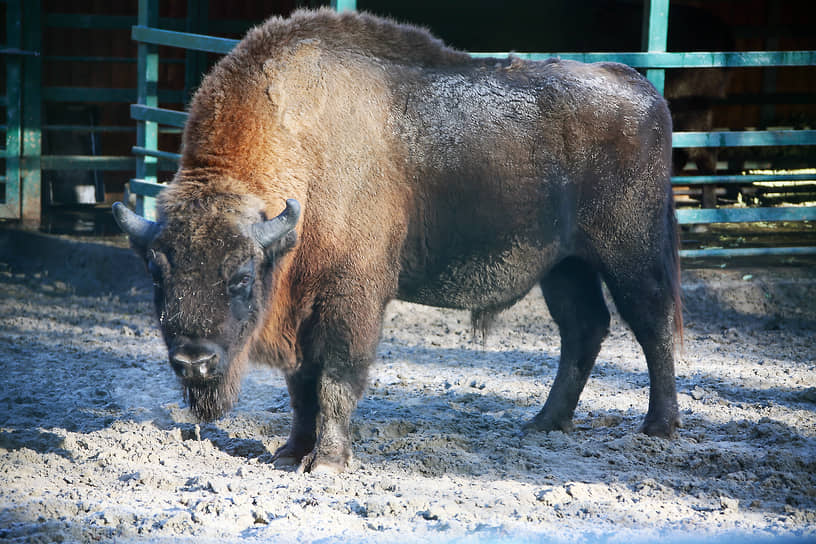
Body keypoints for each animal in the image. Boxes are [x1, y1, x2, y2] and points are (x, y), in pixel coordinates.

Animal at [110, 10, 684, 474]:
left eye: (240, 276)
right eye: (157, 275)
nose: (193, 361)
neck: (302, 152)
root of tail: (640, 88)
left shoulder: (351, 299)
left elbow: (336, 378)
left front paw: (327, 463)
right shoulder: (301, 310)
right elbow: (301, 387)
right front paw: (290, 453)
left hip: (629, 253)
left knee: (651, 324)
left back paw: (658, 428)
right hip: (564, 266)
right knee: (583, 329)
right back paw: (543, 423)